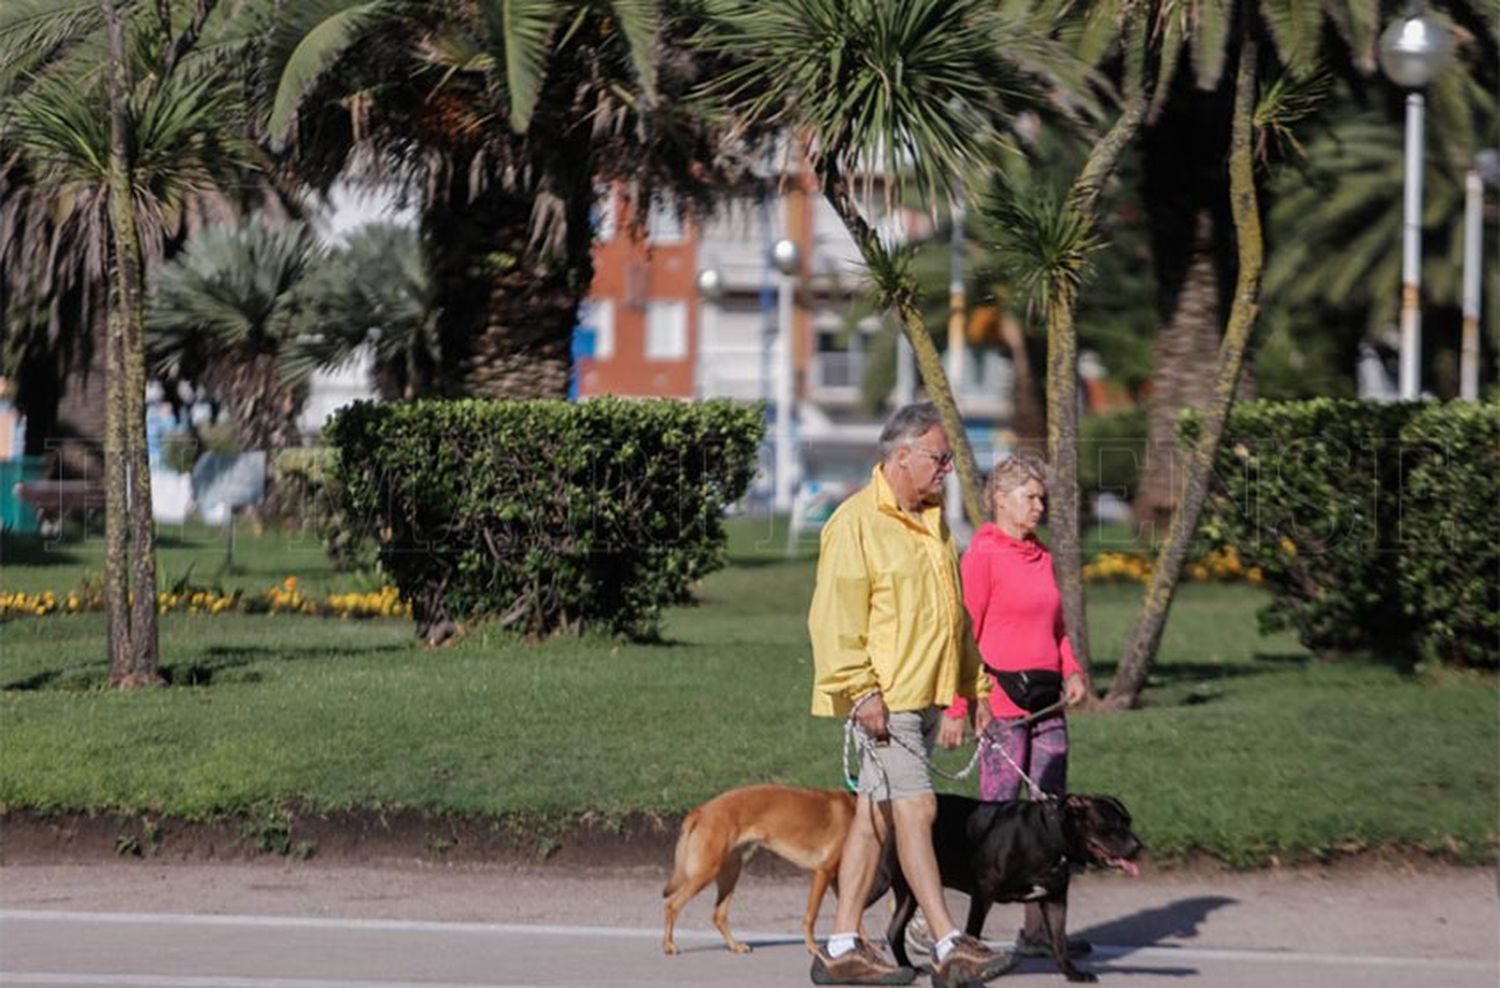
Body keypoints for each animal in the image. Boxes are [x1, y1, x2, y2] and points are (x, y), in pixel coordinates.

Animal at [660, 785, 858, 953]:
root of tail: (701, 810)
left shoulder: (836, 878)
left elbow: (855, 919)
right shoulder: (824, 872)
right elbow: (811, 916)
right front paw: (813, 948)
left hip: (730, 874)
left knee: (718, 915)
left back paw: (734, 946)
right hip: (706, 873)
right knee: (671, 906)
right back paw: (669, 945)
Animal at [876, 797, 1140, 983]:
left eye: (1128, 822)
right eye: (1112, 824)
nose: (1138, 846)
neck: (1049, 834)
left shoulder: (1055, 900)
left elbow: (1059, 942)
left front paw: (1072, 973)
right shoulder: (983, 893)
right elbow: (973, 931)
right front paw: (972, 964)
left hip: (910, 890)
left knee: (894, 930)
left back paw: (907, 968)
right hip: (883, 880)